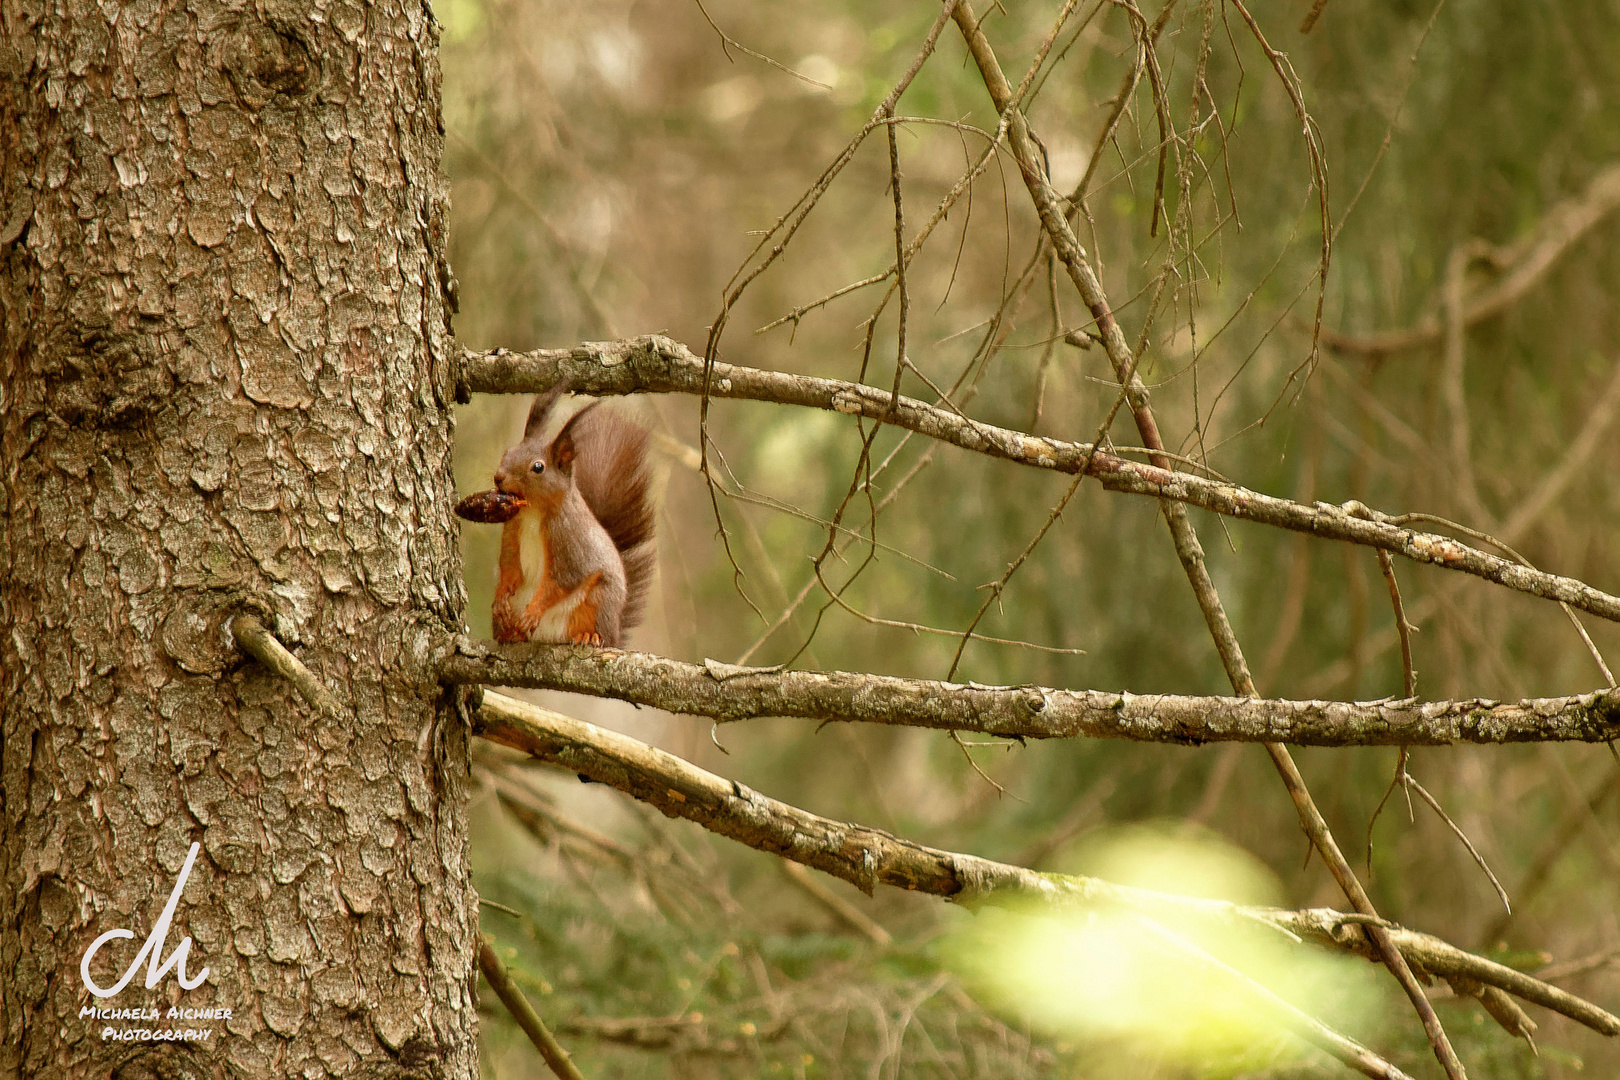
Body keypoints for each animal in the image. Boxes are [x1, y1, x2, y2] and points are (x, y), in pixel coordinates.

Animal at [482, 383, 654, 647]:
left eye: (538, 467)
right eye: (507, 451)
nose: (499, 477)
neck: (533, 511)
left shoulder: (570, 543)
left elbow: (562, 582)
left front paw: (533, 612)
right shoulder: (512, 526)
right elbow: (509, 566)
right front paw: (500, 599)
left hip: (599, 601)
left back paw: (588, 636)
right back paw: (509, 633)